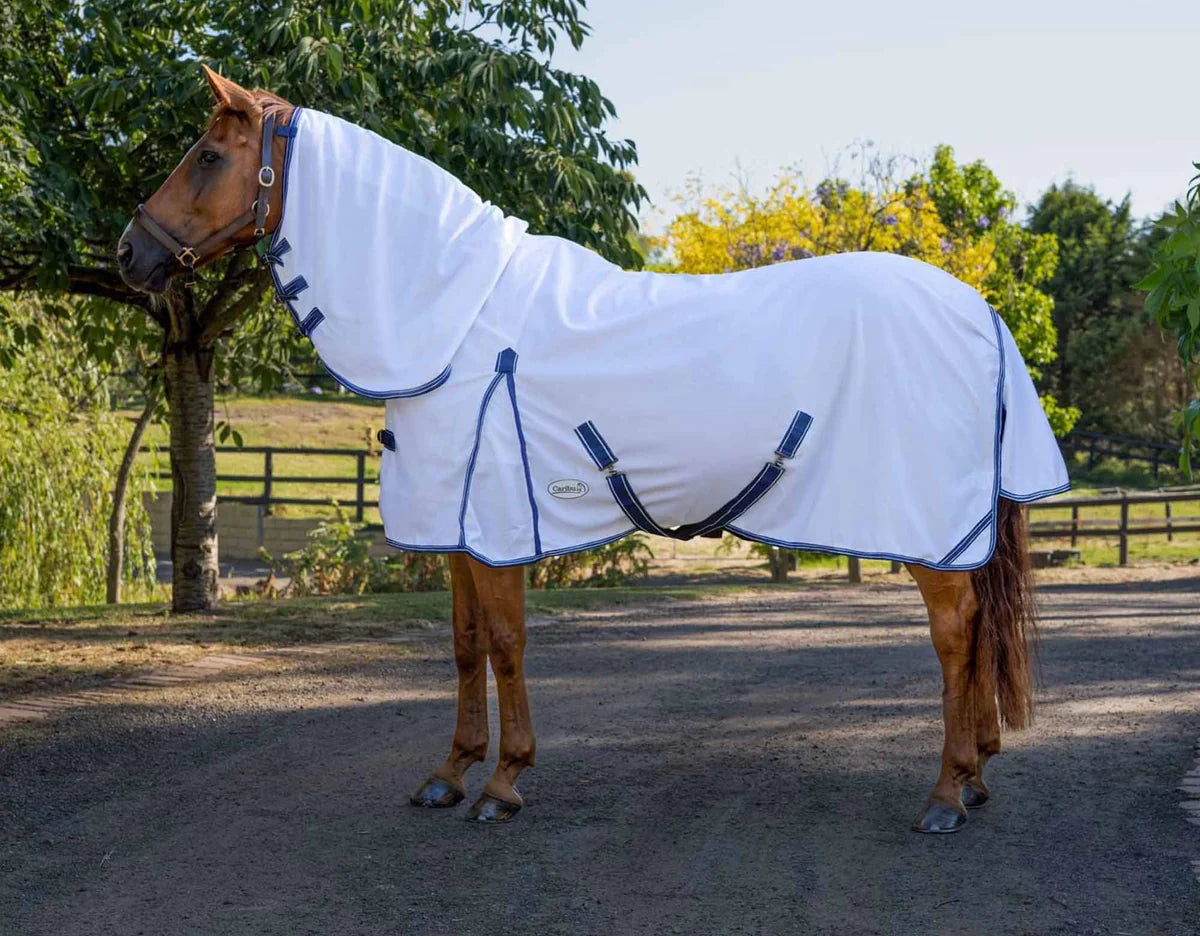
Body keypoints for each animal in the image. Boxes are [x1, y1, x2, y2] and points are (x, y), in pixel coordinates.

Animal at [118, 66, 1068, 833]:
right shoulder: (454, 525)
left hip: (930, 532)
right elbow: (464, 643)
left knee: (956, 636)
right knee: (977, 636)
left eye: (209, 155)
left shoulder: (497, 525)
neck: (457, 318)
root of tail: (980, 310)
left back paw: (946, 794)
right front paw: (449, 773)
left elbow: (506, 642)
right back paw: (975, 778)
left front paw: (503, 784)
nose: (130, 253)